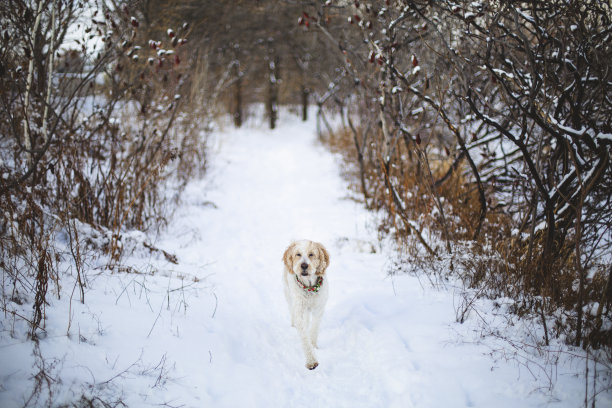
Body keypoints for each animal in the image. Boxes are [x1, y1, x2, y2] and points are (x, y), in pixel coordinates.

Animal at [282, 239, 330, 370]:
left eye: (311, 254)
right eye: (298, 254)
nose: (304, 265)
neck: (309, 288)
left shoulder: (319, 309)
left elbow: (314, 329)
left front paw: (313, 345)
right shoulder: (299, 310)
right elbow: (304, 336)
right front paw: (311, 361)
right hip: (289, 296)